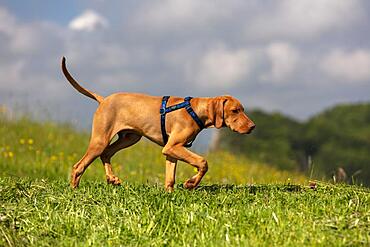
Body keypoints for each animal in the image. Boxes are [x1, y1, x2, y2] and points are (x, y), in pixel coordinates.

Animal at [62, 57, 256, 191]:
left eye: (242, 109)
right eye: (235, 110)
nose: (253, 126)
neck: (194, 110)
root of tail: (103, 100)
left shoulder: (172, 150)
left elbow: (170, 178)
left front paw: (170, 195)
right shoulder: (173, 147)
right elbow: (203, 162)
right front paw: (191, 183)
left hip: (130, 138)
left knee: (106, 153)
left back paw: (112, 178)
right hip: (100, 140)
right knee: (79, 166)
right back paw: (74, 190)